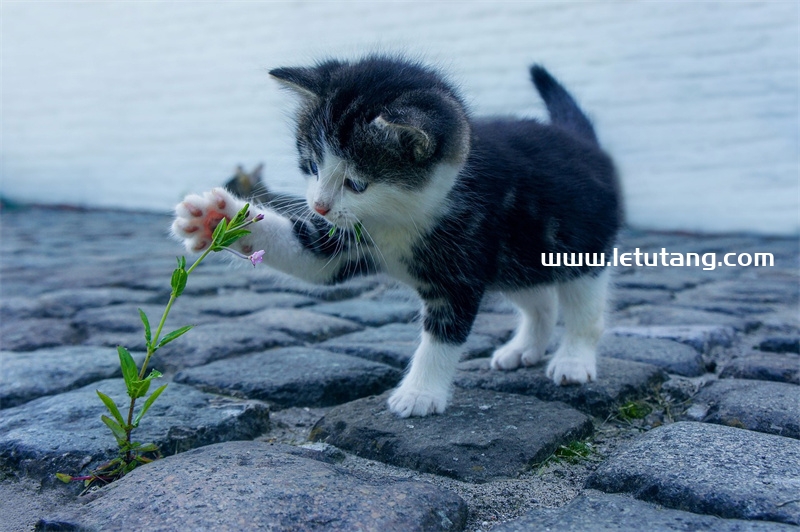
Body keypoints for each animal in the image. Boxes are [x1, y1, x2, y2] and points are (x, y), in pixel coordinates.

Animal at [175, 55, 620, 420]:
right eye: (312, 166)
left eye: (356, 183)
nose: (319, 206)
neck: (399, 217)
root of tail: (583, 143)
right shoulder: (346, 240)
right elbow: (309, 257)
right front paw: (216, 218)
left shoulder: (462, 264)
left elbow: (443, 334)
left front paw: (420, 393)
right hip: (517, 258)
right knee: (539, 299)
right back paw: (524, 348)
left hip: (578, 247)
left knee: (583, 309)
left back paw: (573, 360)